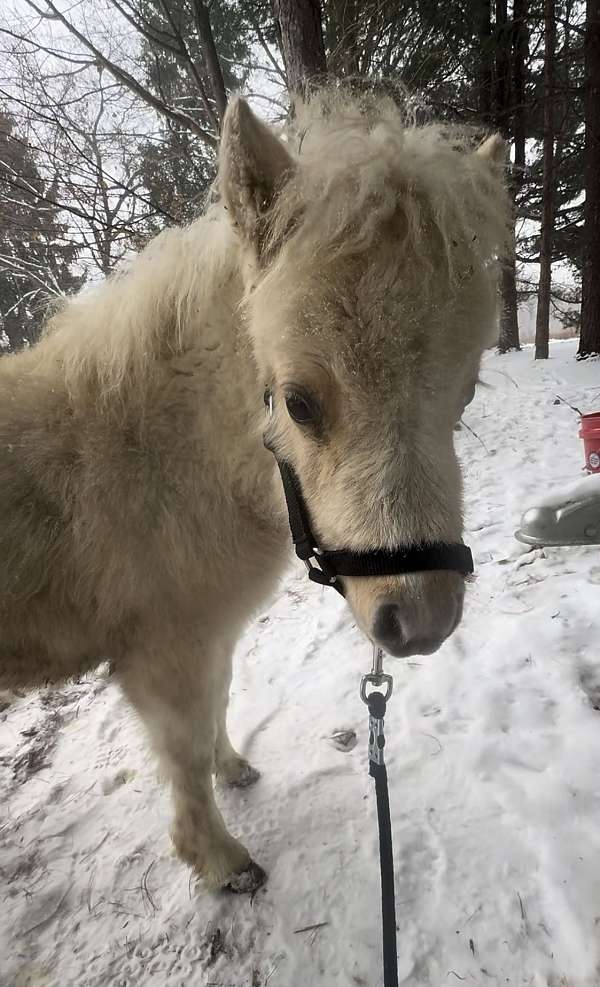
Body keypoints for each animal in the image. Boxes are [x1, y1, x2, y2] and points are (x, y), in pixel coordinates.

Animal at [0, 90, 509, 892]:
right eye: (298, 403)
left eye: (465, 394)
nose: (422, 621)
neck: (155, 459)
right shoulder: (163, 658)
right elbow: (183, 755)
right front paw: (220, 862)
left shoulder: (211, 637)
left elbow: (218, 706)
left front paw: (233, 768)